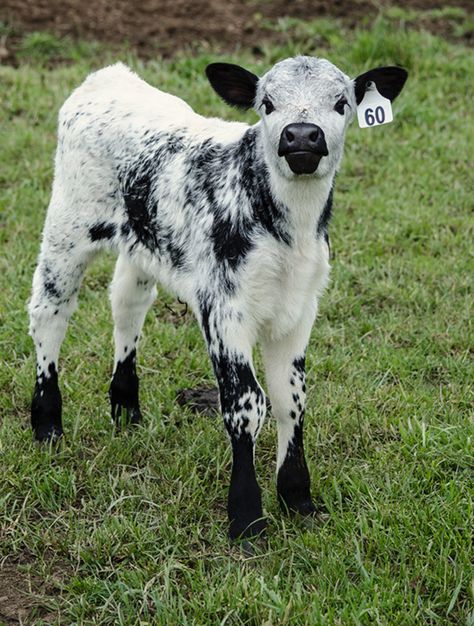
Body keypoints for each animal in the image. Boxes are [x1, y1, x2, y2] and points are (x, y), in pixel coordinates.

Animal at [28, 57, 408, 536]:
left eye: (342, 103)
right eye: (267, 103)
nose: (302, 136)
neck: (287, 230)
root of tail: (109, 76)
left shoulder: (299, 309)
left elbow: (291, 399)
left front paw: (297, 498)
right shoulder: (224, 309)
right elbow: (246, 404)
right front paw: (246, 516)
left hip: (142, 244)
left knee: (127, 305)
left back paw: (126, 409)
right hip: (68, 225)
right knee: (49, 312)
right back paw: (47, 424)